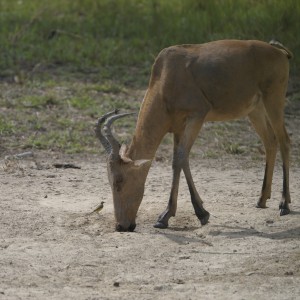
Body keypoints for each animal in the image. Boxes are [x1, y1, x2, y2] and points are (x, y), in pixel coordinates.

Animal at [95, 39, 292, 232]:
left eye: (119, 180)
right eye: (109, 180)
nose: (121, 226)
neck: (166, 75)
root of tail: (278, 51)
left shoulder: (197, 116)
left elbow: (181, 158)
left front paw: (194, 214)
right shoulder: (178, 127)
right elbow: (178, 162)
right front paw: (171, 216)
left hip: (274, 101)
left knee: (284, 141)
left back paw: (284, 204)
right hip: (255, 110)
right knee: (270, 142)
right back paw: (262, 199)